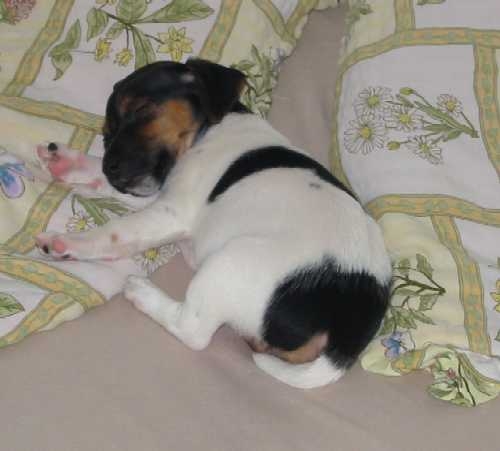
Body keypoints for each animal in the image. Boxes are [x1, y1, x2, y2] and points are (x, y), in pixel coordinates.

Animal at [35, 59, 392, 389]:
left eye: (141, 110)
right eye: (106, 133)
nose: (111, 166)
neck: (206, 132)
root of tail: (351, 330)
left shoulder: (171, 211)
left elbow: (114, 233)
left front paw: (66, 243)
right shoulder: (160, 193)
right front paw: (70, 163)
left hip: (231, 260)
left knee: (192, 330)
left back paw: (142, 293)